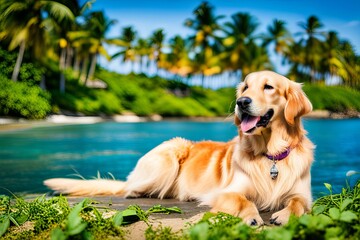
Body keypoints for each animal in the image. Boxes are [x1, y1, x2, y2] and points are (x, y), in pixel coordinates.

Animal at [44, 70, 316, 226]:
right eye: (246, 87)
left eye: (268, 87)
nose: (241, 102)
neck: (271, 155)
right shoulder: (225, 192)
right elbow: (243, 200)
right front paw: (252, 217)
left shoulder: (303, 194)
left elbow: (297, 203)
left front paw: (284, 215)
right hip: (170, 155)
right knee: (130, 187)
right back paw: (138, 191)